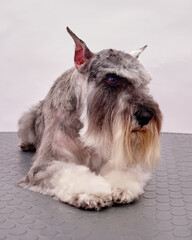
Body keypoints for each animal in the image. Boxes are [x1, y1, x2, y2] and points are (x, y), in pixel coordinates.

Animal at [17, 27, 162, 209]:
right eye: (112, 79)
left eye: (143, 83)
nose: (145, 116)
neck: (84, 125)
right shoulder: (47, 164)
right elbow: (68, 173)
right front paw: (93, 192)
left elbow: (123, 171)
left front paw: (121, 187)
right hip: (27, 120)